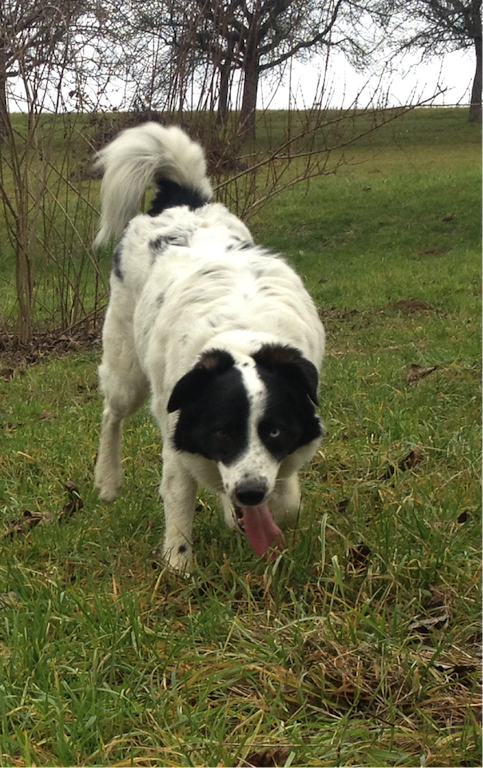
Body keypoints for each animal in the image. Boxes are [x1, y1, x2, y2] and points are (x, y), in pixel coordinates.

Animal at [92, 123, 328, 572]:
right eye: (222, 431)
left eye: (274, 430)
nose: (250, 493)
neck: (240, 332)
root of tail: (184, 200)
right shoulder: (178, 434)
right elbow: (179, 501)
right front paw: (179, 564)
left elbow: (287, 501)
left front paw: (247, 516)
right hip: (126, 371)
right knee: (111, 413)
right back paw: (107, 480)